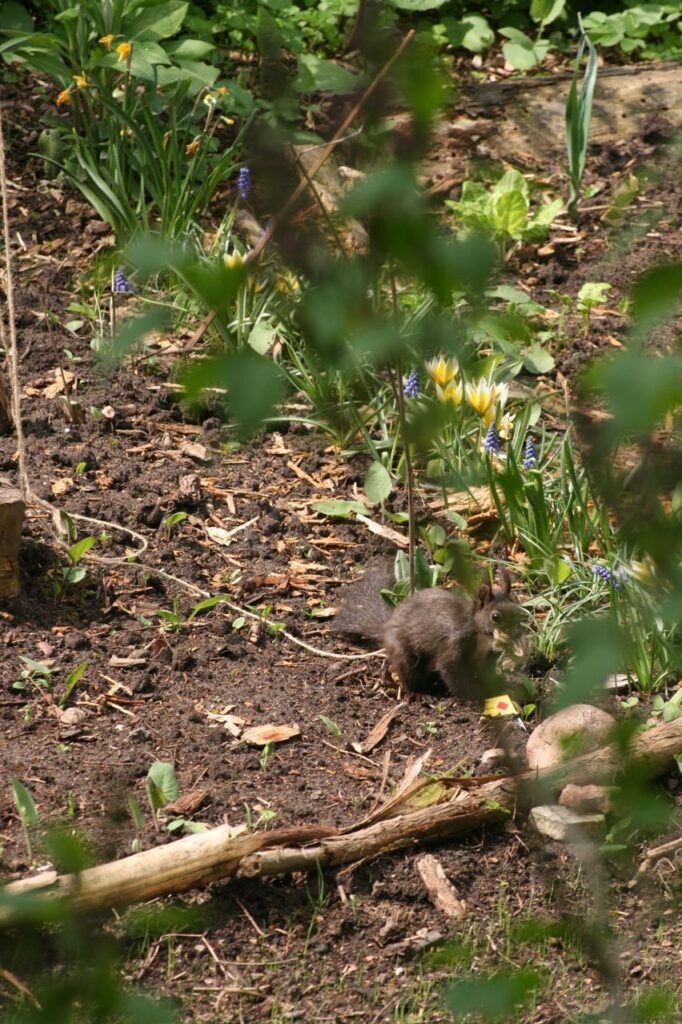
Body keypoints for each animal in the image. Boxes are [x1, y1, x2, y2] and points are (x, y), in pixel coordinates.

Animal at [331, 561, 526, 701]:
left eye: (517, 609)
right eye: (495, 616)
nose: (517, 634)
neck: (478, 632)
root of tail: (385, 628)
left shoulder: (479, 655)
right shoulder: (453, 646)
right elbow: (453, 674)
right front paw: (473, 695)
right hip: (405, 655)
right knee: (408, 677)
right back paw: (420, 694)